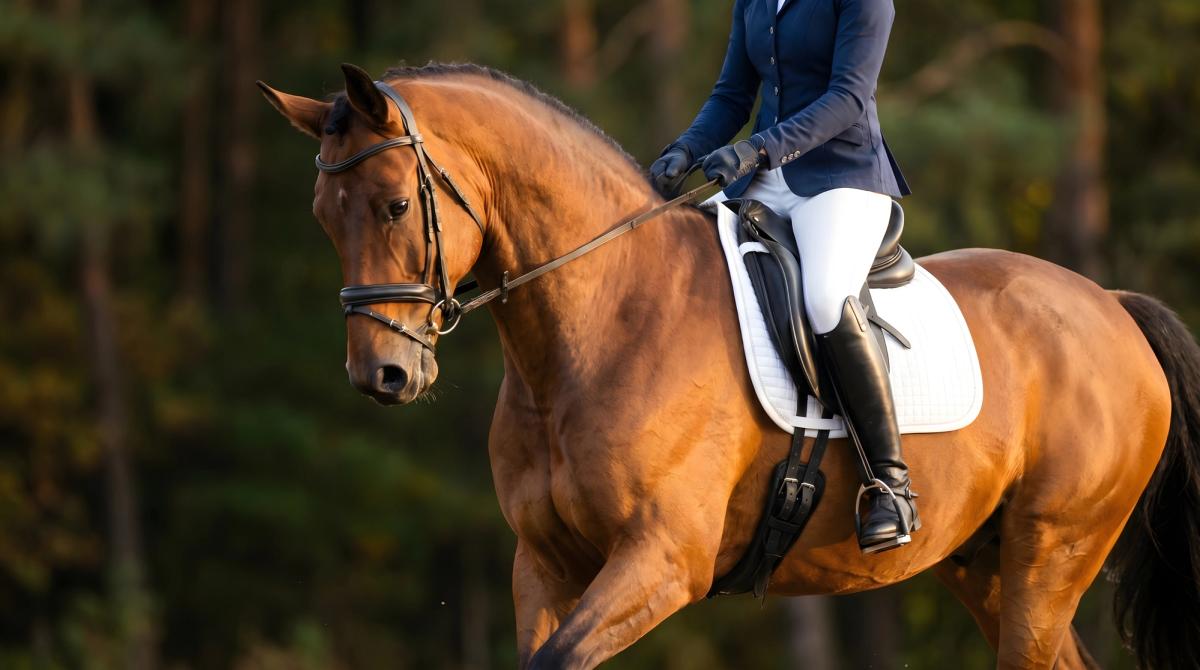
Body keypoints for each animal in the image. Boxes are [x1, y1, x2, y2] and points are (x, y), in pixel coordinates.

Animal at [257, 63, 1200, 669]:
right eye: (322, 217)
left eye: (393, 205)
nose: (382, 376)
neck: (595, 324)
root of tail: (1110, 304)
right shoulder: (545, 564)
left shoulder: (663, 561)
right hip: (986, 565)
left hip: (1054, 551)